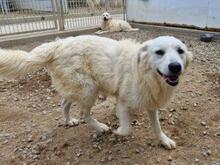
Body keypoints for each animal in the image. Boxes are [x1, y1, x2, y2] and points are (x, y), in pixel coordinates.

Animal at [0, 35, 192, 149]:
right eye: (159, 52)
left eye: (180, 51)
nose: (175, 67)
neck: (145, 72)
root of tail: (59, 43)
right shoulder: (123, 102)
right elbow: (128, 128)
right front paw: (119, 131)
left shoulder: (151, 102)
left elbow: (157, 126)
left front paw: (164, 140)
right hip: (89, 89)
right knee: (84, 114)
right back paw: (100, 127)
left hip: (78, 88)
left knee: (65, 103)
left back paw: (69, 121)